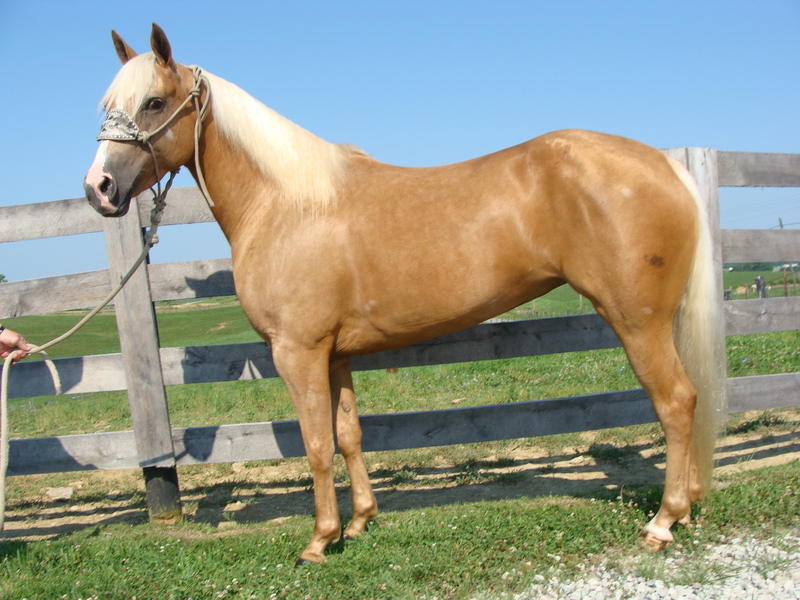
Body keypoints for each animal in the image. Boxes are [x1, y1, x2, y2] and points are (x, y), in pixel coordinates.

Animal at [84, 24, 726, 565]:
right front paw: (361, 521)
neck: (289, 204)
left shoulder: (298, 352)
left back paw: (663, 521)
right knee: (688, 399)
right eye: (108, 105)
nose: (99, 188)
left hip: (637, 321)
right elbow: (348, 435)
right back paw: (690, 506)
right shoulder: (334, 354)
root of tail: (664, 164)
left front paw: (319, 541)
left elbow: (315, 445)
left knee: (675, 402)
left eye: (154, 103)